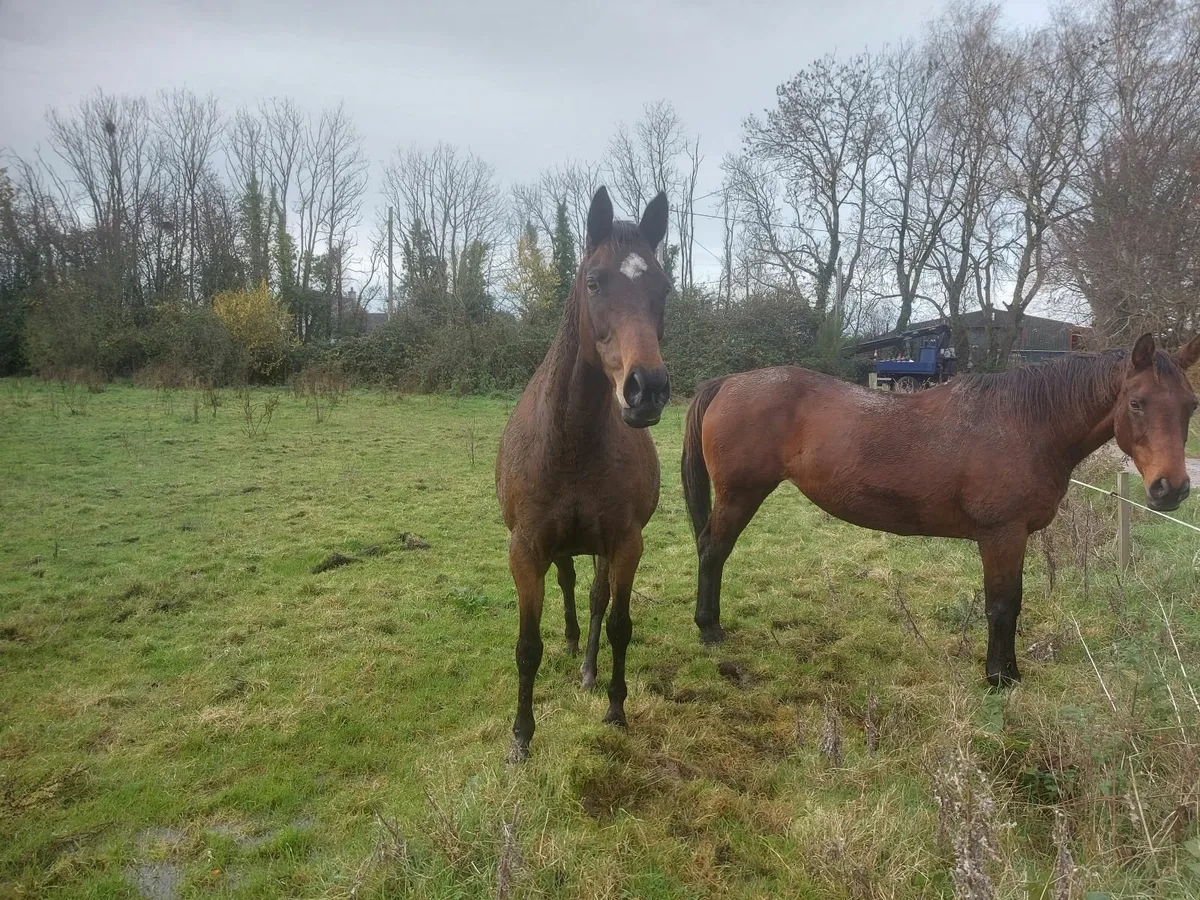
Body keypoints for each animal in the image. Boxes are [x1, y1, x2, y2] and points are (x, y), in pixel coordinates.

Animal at [496, 186, 671, 759]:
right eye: (593, 282)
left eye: (663, 288)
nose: (647, 389)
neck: (570, 443)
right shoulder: (526, 548)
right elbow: (528, 646)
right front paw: (521, 738)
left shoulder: (625, 542)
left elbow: (618, 623)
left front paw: (616, 709)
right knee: (569, 584)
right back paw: (573, 643)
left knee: (594, 598)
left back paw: (589, 669)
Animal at [681, 333, 1200, 686]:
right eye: (1137, 403)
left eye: (1191, 405)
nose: (1171, 489)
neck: (1027, 424)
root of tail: (729, 383)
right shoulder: (1001, 534)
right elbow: (1001, 605)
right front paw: (998, 678)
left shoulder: (1015, 537)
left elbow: (1014, 601)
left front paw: (1011, 672)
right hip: (739, 495)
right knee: (713, 550)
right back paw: (709, 630)